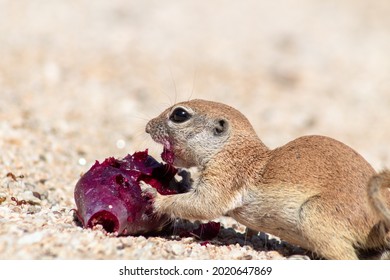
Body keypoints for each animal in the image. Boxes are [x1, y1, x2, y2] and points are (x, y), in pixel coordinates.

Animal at [145, 99, 390, 260]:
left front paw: (153, 196)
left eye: (179, 114)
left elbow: (205, 204)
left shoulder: (225, 175)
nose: (147, 127)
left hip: (314, 214)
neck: (234, 150)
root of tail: (380, 222)